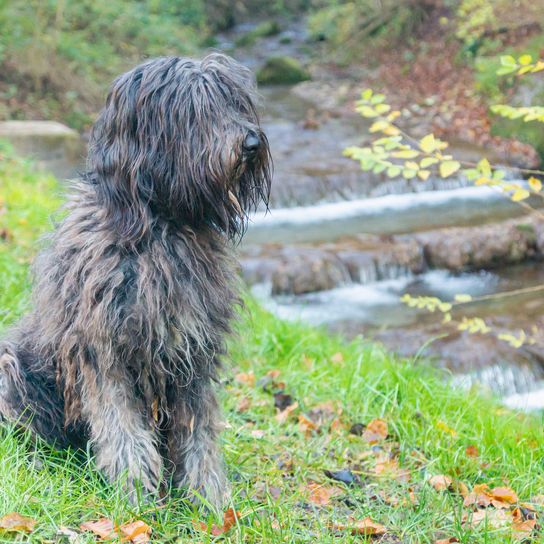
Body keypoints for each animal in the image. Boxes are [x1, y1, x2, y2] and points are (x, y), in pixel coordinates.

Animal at [0, 53, 272, 504]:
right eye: (196, 110)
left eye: (236, 102)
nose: (251, 143)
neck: (161, 225)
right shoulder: (100, 348)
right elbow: (121, 426)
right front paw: (135, 494)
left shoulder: (192, 352)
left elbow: (198, 431)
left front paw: (209, 497)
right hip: (10, 364)